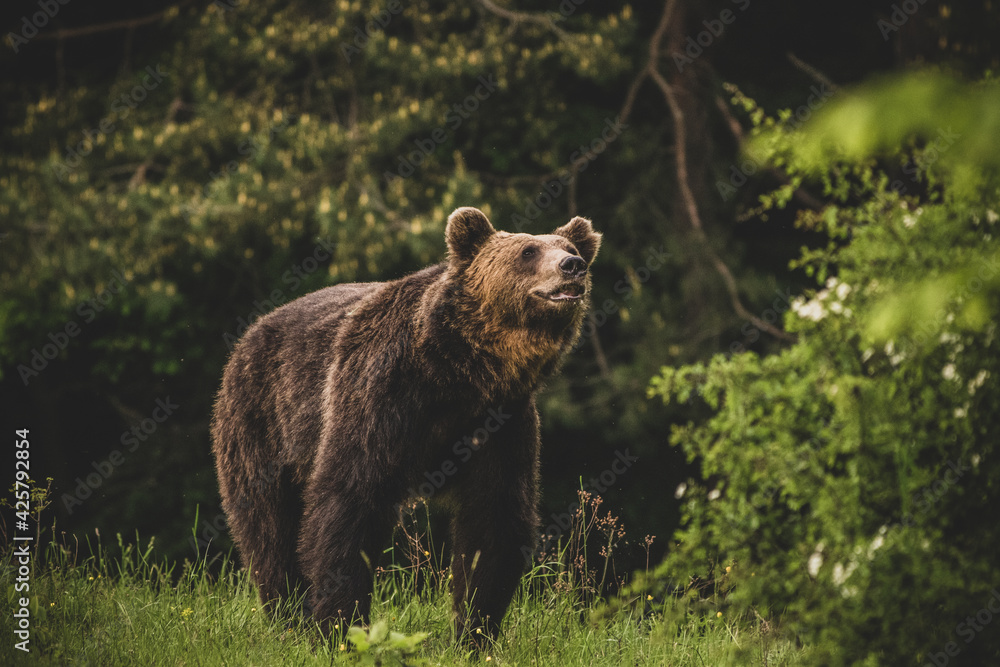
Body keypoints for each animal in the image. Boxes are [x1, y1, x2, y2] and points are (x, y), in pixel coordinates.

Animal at [210, 206, 601, 644]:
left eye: (568, 247)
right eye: (528, 251)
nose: (573, 266)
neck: (459, 370)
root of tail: (251, 332)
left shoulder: (500, 422)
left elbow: (494, 520)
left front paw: (473, 631)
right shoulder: (382, 394)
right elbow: (349, 501)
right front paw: (339, 626)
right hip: (262, 423)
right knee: (268, 527)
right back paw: (288, 616)